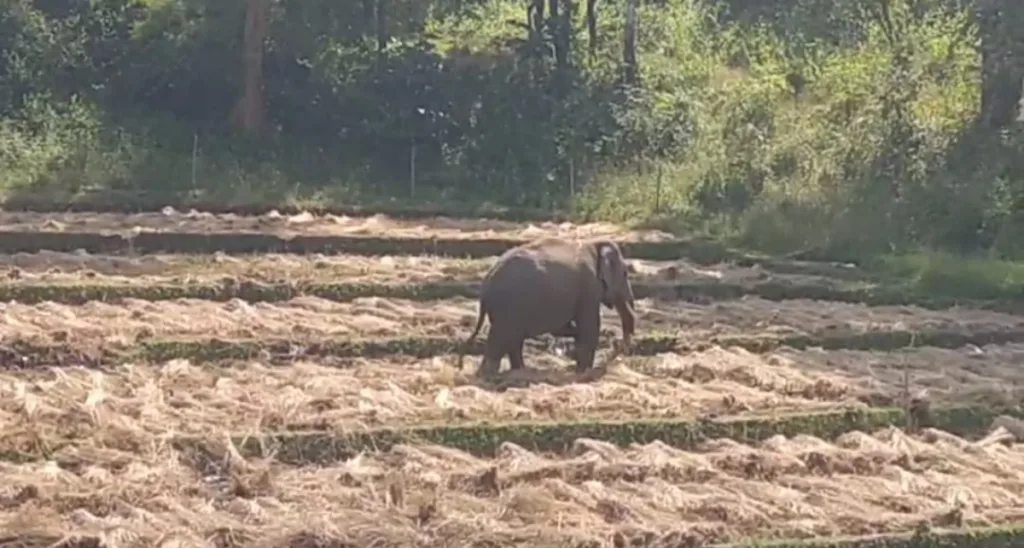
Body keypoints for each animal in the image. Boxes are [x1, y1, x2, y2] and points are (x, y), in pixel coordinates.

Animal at [456, 237, 637, 376]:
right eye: (625, 274)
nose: (623, 349)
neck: (593, 244)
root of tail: (487, 282)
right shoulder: (589, 288)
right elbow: (590, 326)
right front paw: (583, 371)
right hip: (509, 307)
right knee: (501, 338)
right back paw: (489, 374)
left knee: (513, 340)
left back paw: (519, 371)